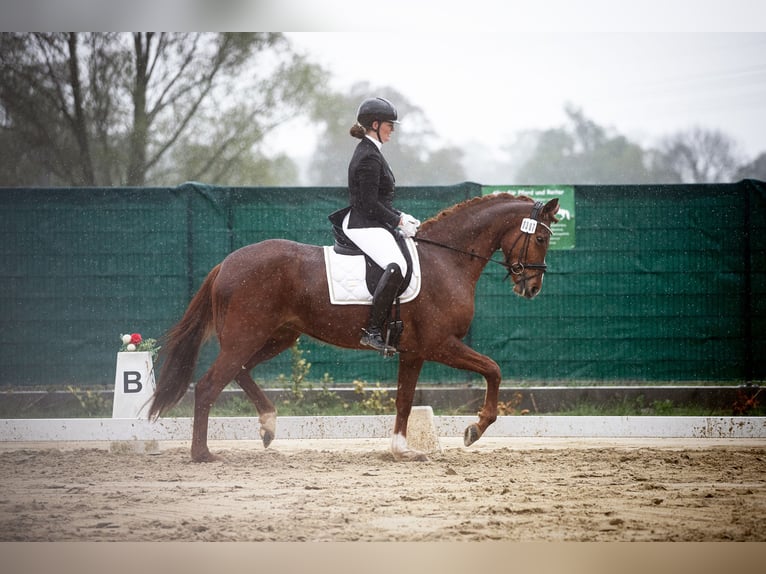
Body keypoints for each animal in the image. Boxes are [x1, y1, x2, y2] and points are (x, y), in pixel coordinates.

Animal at [148, 195, 560, 464]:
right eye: (540, 238)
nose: (533, 288)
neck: (447, 258)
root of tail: (226, 264)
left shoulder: (414, 352)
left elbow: (404, 400)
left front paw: (401, 449)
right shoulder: (441, 343)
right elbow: (494, 369)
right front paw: (475, 429)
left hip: (278, 336)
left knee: (241, 372)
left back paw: (267, 425)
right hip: (245, 337)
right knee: (208, 385)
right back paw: (202, 454)